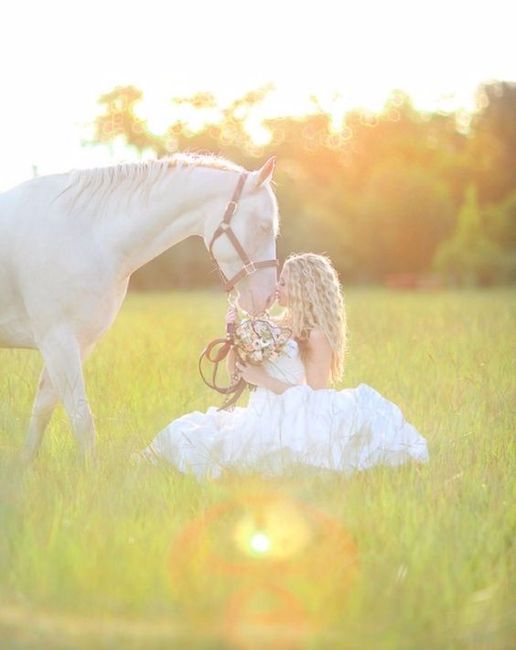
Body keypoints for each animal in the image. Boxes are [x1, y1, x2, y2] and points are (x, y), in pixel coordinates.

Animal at [0, 153, 279, 461]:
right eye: (265, 226)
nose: (268, 297)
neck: (88, 236)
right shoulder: (58, 342)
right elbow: (82, 420)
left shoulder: (75, 344)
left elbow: (43, 409)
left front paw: (25, 465)